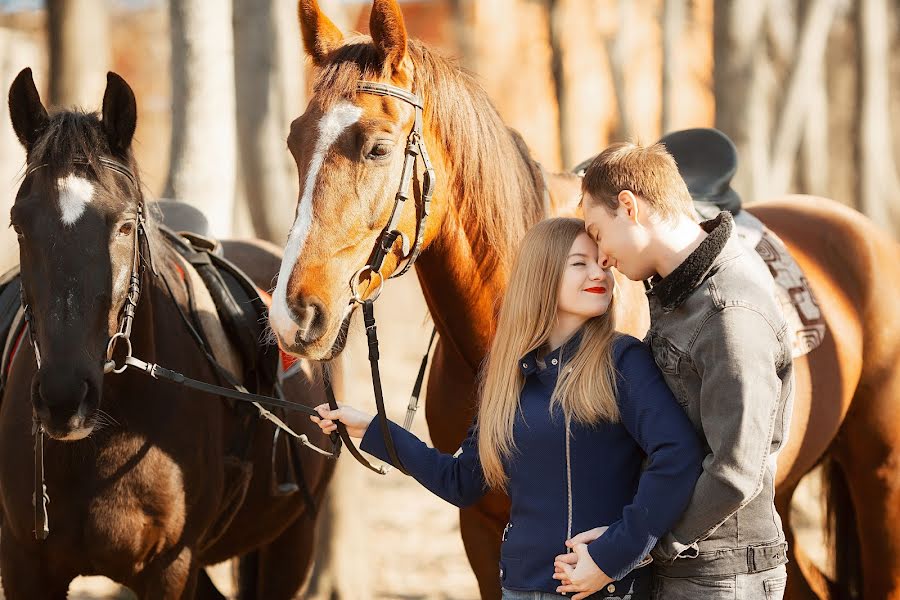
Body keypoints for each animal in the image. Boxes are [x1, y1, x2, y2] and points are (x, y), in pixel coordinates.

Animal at [1, 68, 336, 596]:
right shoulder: (24, 567)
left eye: (123, 226)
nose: (63, 398)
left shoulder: (170, 569)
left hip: (292, 540)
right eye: (19, 223)